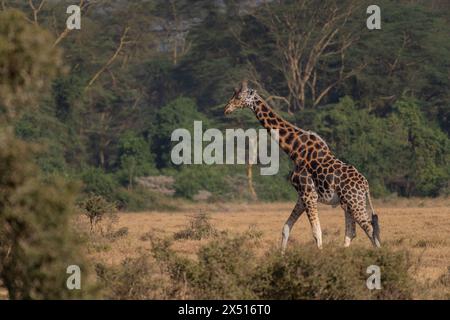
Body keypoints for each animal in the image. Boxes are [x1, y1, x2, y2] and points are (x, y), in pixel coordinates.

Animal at [224, 81, 380, 251]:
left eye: (239, 97)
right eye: (233, 95)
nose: (226, 109)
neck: (295, 150)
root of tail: (365, 186)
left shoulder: (308, 194)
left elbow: (317, 233)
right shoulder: (301, 195)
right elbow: (286, 228)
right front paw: (281, 254)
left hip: (354, 202)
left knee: (370, 229)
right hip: (348, 204)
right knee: (351, 232)